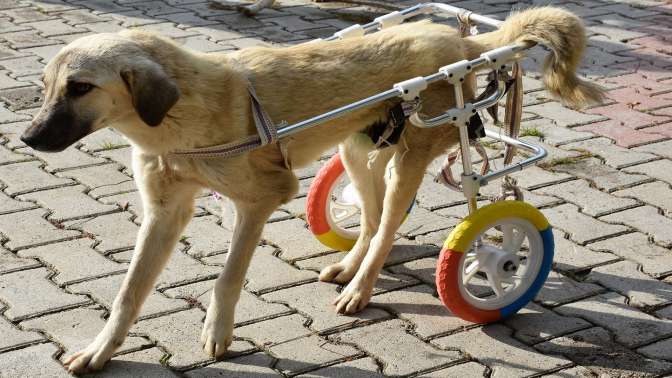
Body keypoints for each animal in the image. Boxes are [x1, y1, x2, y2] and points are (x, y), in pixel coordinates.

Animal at [21, 7, 600, 374]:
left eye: (80, 87)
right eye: (46, 88)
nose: (27, 139)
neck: (179, 120)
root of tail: (461, 41)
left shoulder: (263, 199)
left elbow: (227, 280)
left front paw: (217, 333)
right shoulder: (165, 212)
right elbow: (127, 294)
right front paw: (101, 350)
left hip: (409, 158)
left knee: (391, 229)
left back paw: (361, 289)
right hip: (359, 150)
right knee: (372, 220)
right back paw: (347, 268)